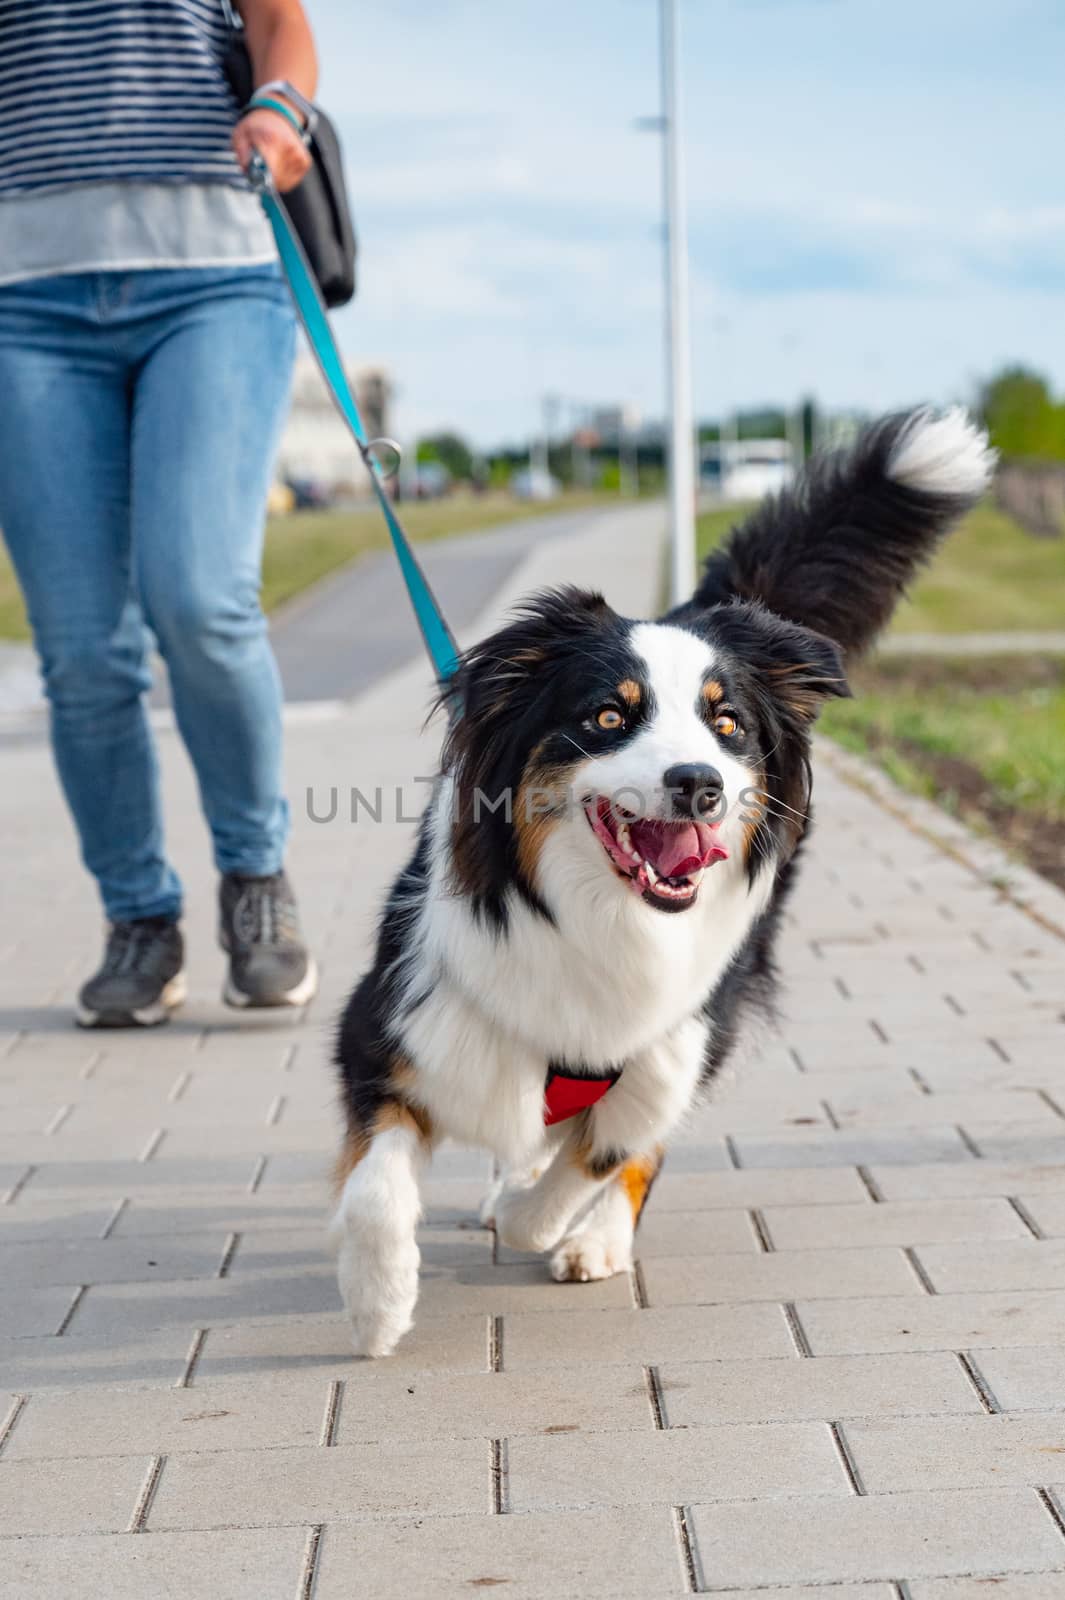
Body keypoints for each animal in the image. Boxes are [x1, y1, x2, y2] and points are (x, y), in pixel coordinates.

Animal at [327, 406, 991, 1356]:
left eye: (726, 725)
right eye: (609, 715)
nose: (698, 783)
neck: (600, 917)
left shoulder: (676, 1035)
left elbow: (603, 1151)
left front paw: (539, 1216)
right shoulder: (396, 1019)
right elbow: (376, 1187)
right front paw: (377, 1303)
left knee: (633, 1140)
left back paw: (592, 1235)